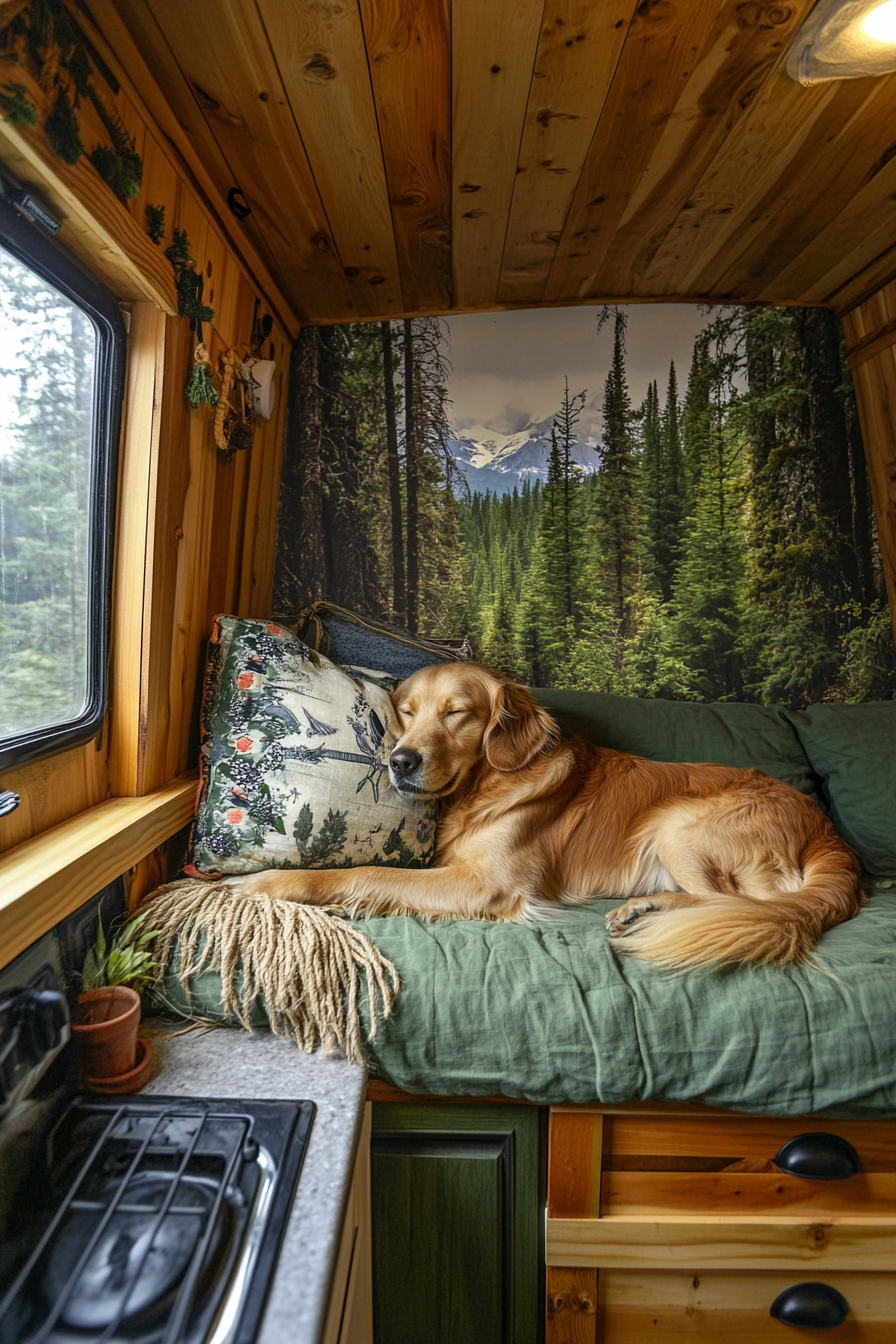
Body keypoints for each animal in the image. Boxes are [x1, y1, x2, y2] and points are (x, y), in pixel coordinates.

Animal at [228, 661, 865, 967]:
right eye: (406, 712)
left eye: (456, 713)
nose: (400, 761)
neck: (487, 786)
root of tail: (825, 829)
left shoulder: (488, 885)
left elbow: (363, 872)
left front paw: (266, 883)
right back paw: (641, 910)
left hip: (677, 824)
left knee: (741, 906)